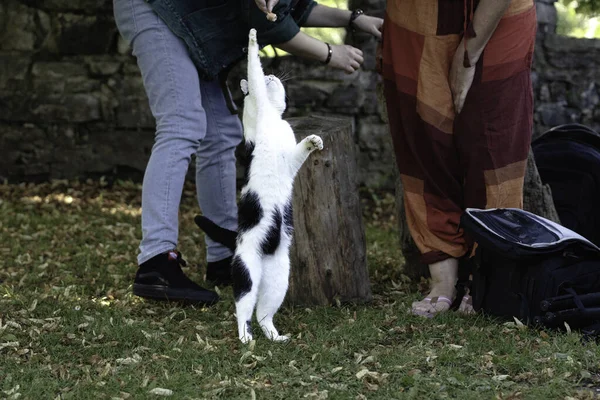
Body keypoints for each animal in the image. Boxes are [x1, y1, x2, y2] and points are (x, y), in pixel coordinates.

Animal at [197, 28, 324, 344]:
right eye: (267, 77)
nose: (273, 75)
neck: (274, 119)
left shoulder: (291, 161)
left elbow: (300, 151)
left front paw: (314, 141)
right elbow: (251, 69)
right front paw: (253, 39)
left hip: (279, 279)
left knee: (263, 313)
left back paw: (275, 336)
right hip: (248, 275)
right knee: (243, 310)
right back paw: (246, 339)